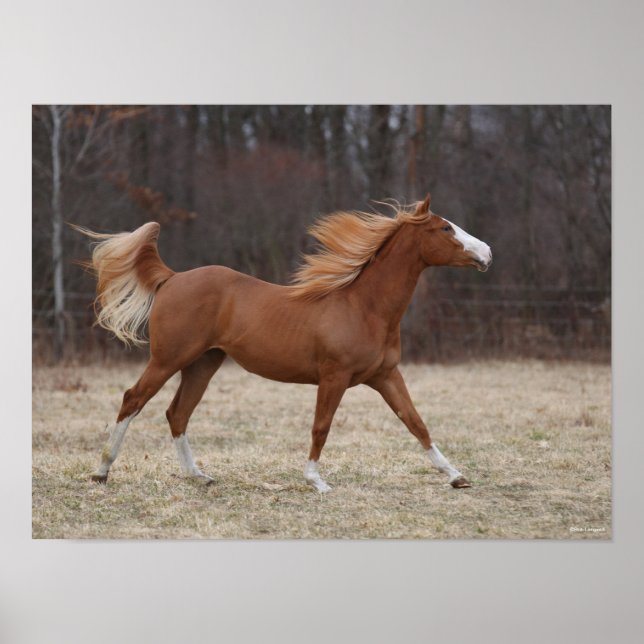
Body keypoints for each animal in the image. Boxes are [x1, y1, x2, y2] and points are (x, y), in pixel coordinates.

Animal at [76, 193, 492, 492]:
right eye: (445, 228)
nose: (487, 253)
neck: (364, 307)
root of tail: (173, 278)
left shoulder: (386, 376)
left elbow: (416, 422)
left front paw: (456, 476)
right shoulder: (334, 377)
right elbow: (321, 426)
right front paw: (316, 482)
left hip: (204, 363)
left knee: (177, 413)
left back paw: (199, 476)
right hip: (168, 359)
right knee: (133, 399)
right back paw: (101, 472)